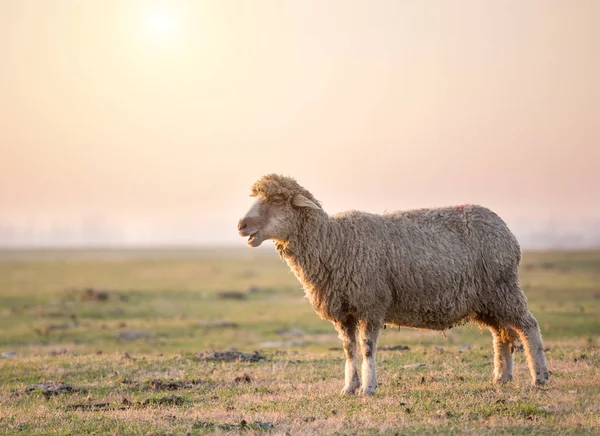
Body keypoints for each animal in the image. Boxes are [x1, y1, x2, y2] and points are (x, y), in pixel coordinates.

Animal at [238, 173, 548, 396]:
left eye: (278, 199)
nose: (241, 225)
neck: (335, 241)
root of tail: (505, 229)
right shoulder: (344, 311)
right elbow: (349, 350)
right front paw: (348, 387)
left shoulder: (371, 304)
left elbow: (366, 349)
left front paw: (368, 387)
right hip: (487, 300)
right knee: (502, 335)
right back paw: (502, 378)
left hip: (503, 287)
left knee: (528, 326)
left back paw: (540, 378)